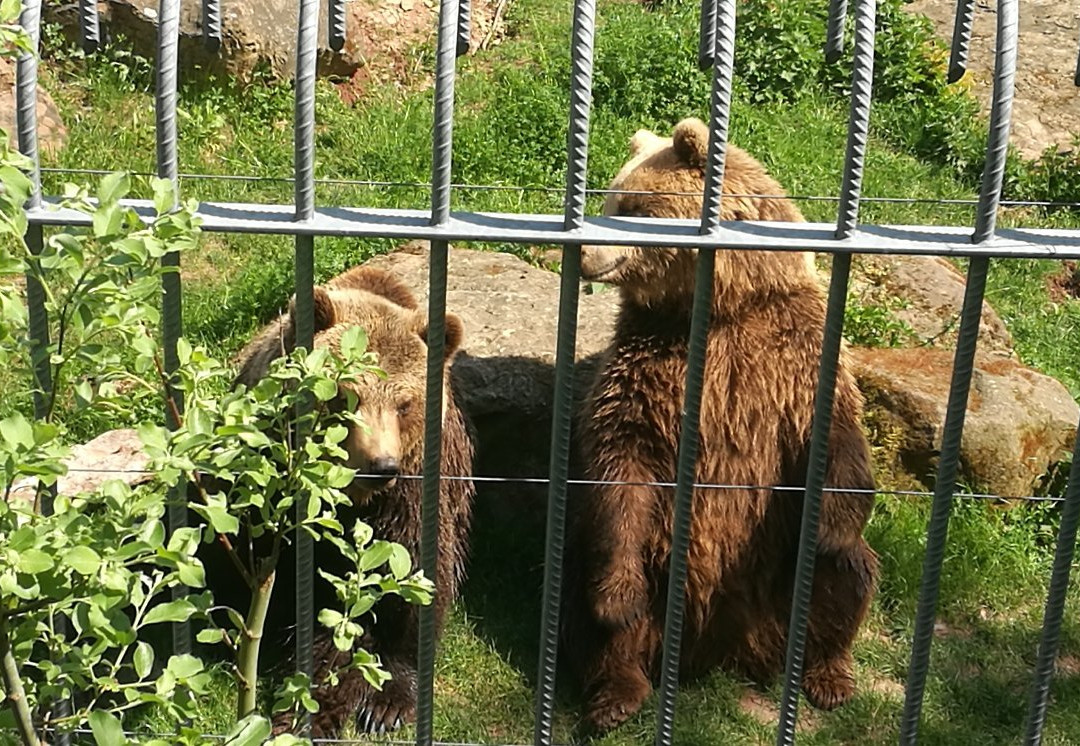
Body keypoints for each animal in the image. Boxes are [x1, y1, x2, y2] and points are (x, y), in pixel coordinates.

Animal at [219, 265, 473, 738]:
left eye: (405, 404)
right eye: (344, 393)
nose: (381, 465)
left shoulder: (414, 490)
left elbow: (414, 579)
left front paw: (389, 701)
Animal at [561, 118, 881, 734]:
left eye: (632, 208)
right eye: (610, 201)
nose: (586, 255)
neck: (721, 308)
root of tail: (719, 650)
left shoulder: (794, 354)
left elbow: (837, 437)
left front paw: (832, 529)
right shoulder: (652, 358)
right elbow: (621, 454)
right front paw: (616, 598)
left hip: (780, 579)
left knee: (847, 578)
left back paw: (828, 675)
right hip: (656, 563)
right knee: (596, 607)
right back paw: (616, 693)